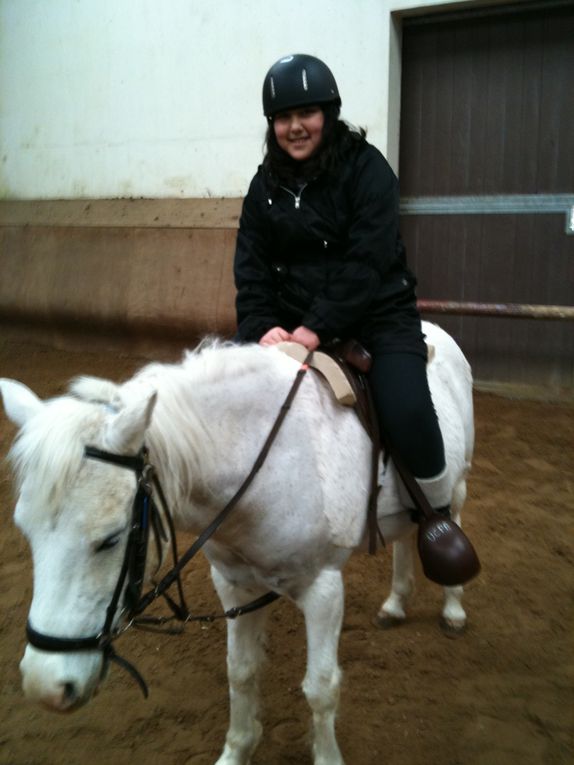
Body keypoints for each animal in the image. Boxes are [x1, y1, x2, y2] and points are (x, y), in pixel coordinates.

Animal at [0, 322, 474, 764]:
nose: (45, 686)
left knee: (444, 520)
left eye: (111, 539)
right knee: (406, 539)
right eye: (25, 529)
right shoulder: (235, 585)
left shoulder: (323, 590)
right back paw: (395, 603)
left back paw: (452, 608)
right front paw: (237, 750)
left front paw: (326, 754)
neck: (263, 463)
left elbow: (321, 688)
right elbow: (241, 673)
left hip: (455, 486)